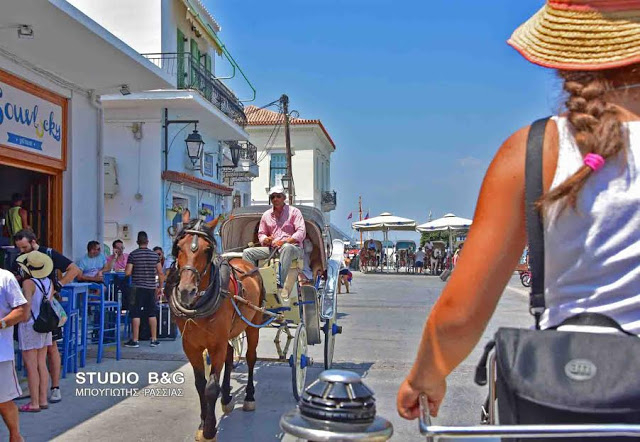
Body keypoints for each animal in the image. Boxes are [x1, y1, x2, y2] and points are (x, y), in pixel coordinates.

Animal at [168, 212, 264, 442]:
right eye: (179, 247)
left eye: (207, 249)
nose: (186, 291)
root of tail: (245, 261)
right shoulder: (191, 346)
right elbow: (200, 385)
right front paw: (203, 424)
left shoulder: (216, 345)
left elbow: (211, 387)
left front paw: (210, 430)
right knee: (230, 355)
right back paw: (227, 396)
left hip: (253, 324)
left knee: (250, 357)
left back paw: (248, 397)